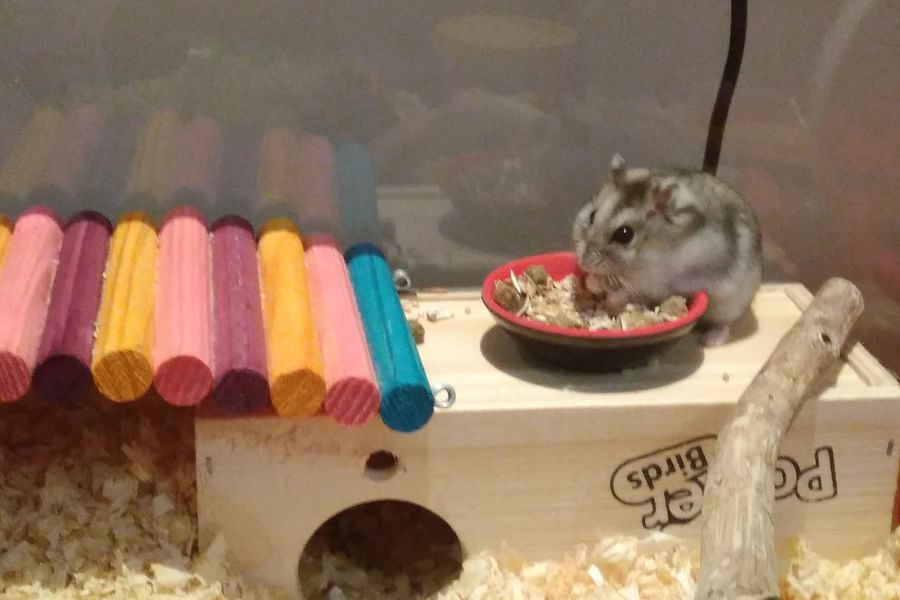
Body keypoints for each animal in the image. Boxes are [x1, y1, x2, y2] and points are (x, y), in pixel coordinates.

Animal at [572, 154, 762, 347]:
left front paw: (603, 291)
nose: (584, 263)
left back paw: (709, 340)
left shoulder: (659, 282)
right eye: (592, 216)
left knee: (725, 324)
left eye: (625, 234)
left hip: (729, 305)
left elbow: (626, 291)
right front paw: (592, 281)